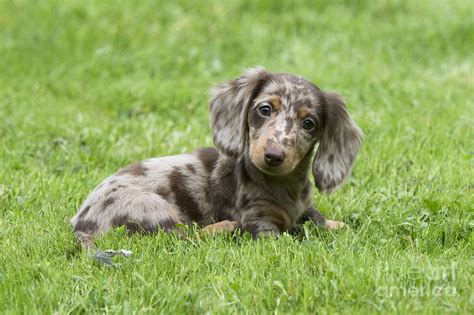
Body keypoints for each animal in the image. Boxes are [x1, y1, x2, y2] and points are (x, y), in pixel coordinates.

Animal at [70, 68, 362, 248]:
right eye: (265, 109)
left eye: (309, 123)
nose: (273, 155)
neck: (285, 187)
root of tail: (80, 224)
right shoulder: (260, 223)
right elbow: (287, 238)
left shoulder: (303, 207)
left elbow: (317, 218)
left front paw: (336, 224)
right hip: (152, 209)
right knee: (184, 239)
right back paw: (224, 228)